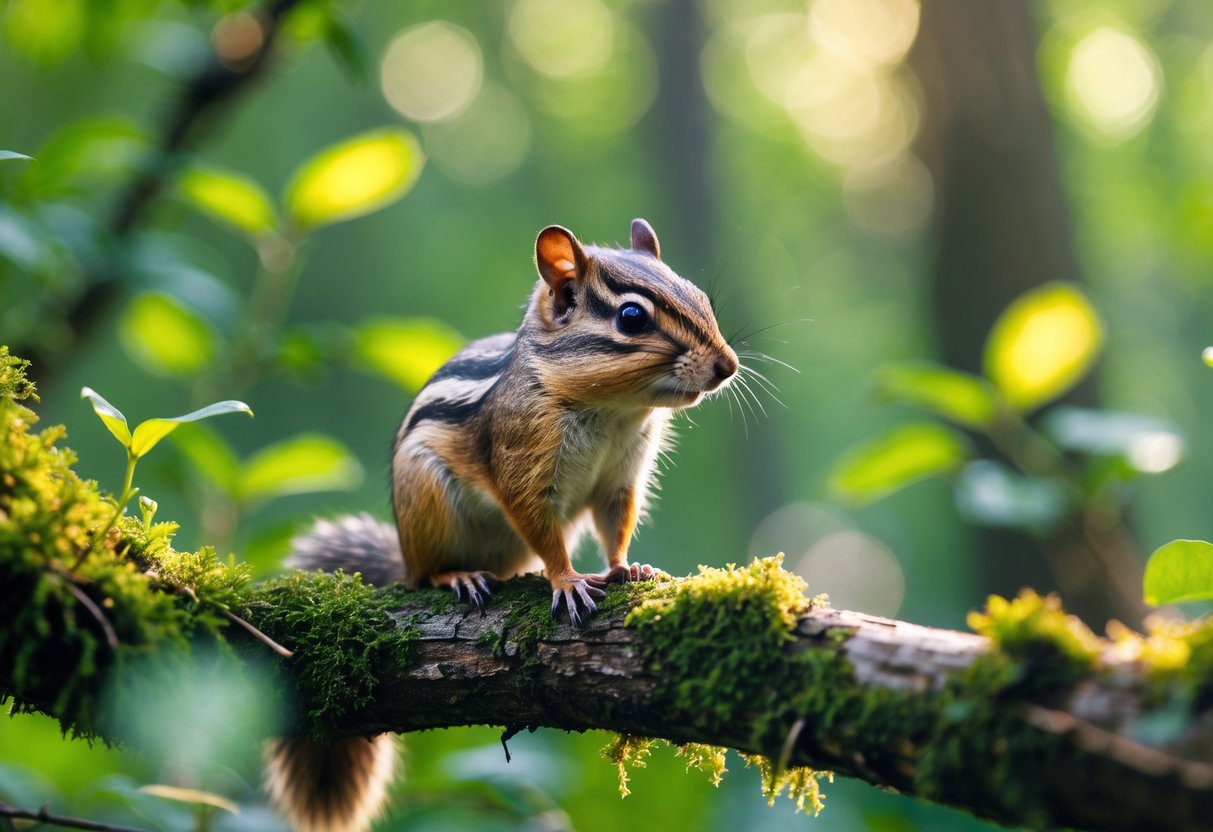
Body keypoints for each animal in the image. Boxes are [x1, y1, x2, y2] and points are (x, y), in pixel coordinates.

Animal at [265, 219, 739, 832]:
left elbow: (616, 524)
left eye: (701, 297)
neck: (612, 410)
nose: (728, 366)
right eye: (632, 318)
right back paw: (459, 577)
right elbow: (539, 526)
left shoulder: (621, 479)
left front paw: (626, 568)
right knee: (427, 575)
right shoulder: (522, 464)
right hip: (427, 507)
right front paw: (567, 580)